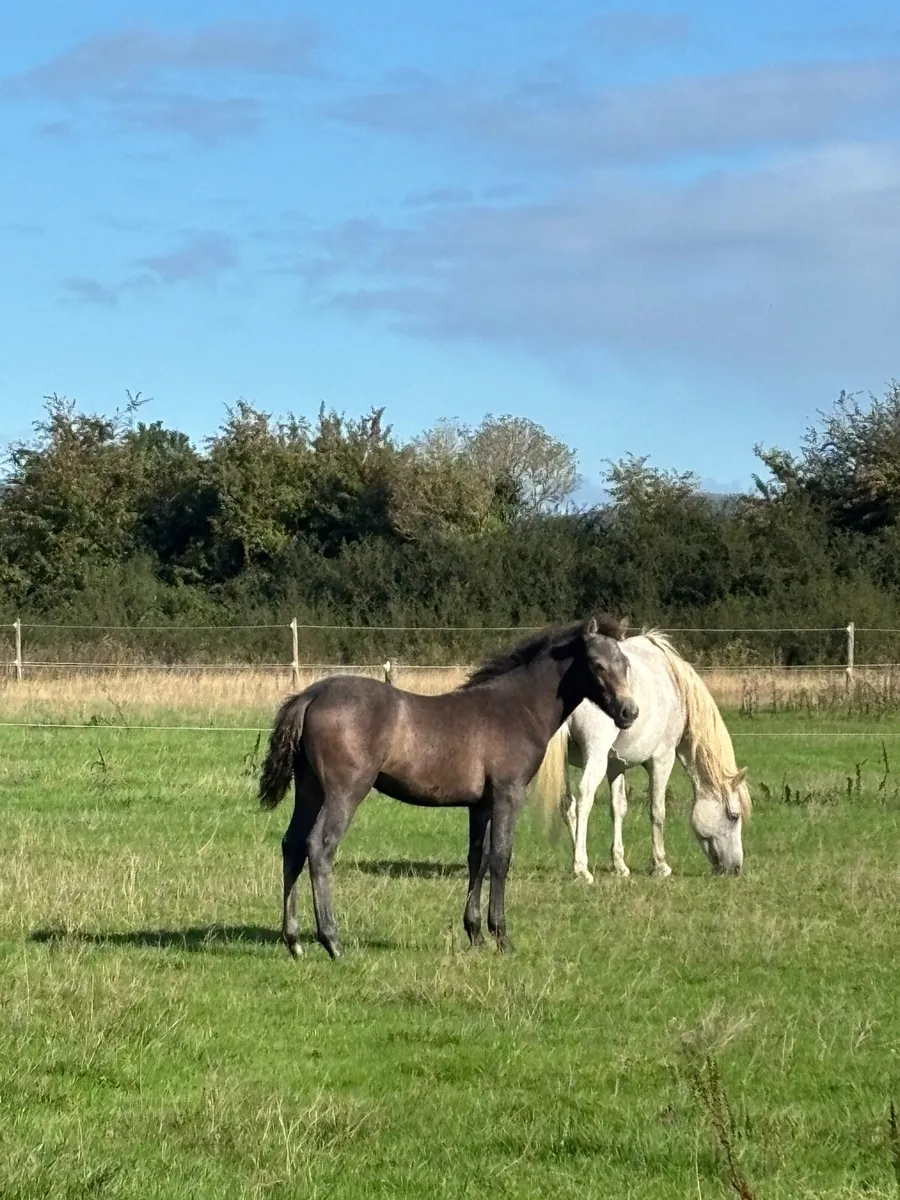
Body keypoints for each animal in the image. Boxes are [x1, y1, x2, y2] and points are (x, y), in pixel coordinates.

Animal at [258, 615, 639, 959]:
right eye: (597, 664)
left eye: (625, 664)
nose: (629, 712)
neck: (517, 708)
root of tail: (310, 695)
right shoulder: (508, 794)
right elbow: (501, 858)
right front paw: (502, 938)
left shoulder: (480, 804)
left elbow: (477, 858)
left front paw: (476, 935)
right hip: (345, 792)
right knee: (319, 847)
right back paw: (332, 942)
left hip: (310, 790)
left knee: (292, 845)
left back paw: (294, 942)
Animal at [534, 631, 751, 880]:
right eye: (734, 816)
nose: (735, 869)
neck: (675, 684)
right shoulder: (661, 760)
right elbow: (657, 810)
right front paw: (661, 865)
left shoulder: (615, 765)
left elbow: (618, 808)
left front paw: (620, 865)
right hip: (595, 756)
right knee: (584, 798)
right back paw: (582, 868)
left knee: (567, 804)